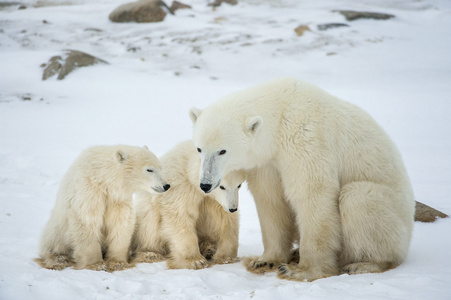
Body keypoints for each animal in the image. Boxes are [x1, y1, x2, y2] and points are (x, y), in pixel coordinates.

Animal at [189, 77, 414, 282]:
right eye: (199, 148)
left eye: (222, 151)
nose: (205, 184)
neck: (280, 116)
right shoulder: (267, 163)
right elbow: (271, 201)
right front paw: (264, 261)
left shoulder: (306, 139)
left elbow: (312, 195)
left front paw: (301, 271)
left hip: (394, 218)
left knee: (358, 199)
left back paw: (364, 264)